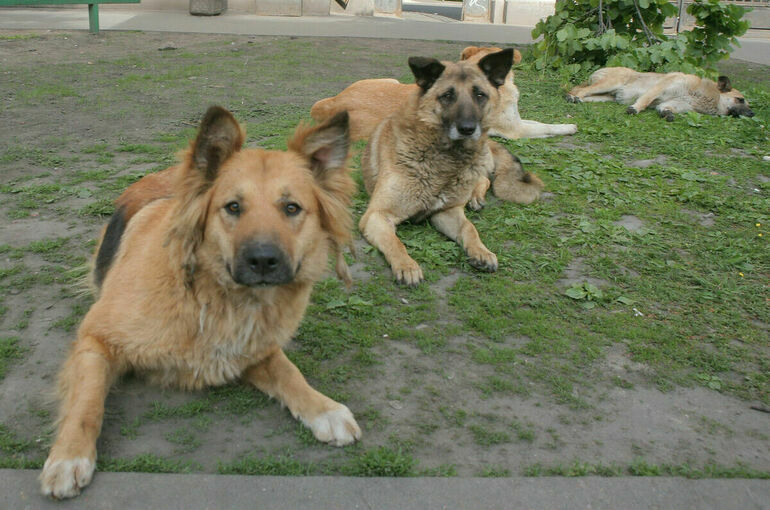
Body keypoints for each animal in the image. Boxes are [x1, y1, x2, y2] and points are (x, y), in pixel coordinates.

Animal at [42, 104, 364, 498]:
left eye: (291, 208)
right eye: (233, 207)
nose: (263, 261)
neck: (217, 298)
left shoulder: (254, 351)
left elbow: (289, 373)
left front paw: (324, 409)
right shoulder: (95, 337)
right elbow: (86, 401)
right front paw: (69, 456)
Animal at [308, 46, 572, 141]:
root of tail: (332, 102)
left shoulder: (516, 121)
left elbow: (537, 121)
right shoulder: (515, 129)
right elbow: (544, 126)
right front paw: (569, 127)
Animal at [358, 48, 544, 286]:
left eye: (480, 95)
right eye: (447, 95)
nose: (467, 129)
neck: (445, 159)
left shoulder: (447, 211)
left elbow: (469, 229)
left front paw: (481, 251)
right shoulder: (377, 215)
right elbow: (395, 242)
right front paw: (407, 265)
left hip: (476, 166)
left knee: (483, 179)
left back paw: (475, 197)